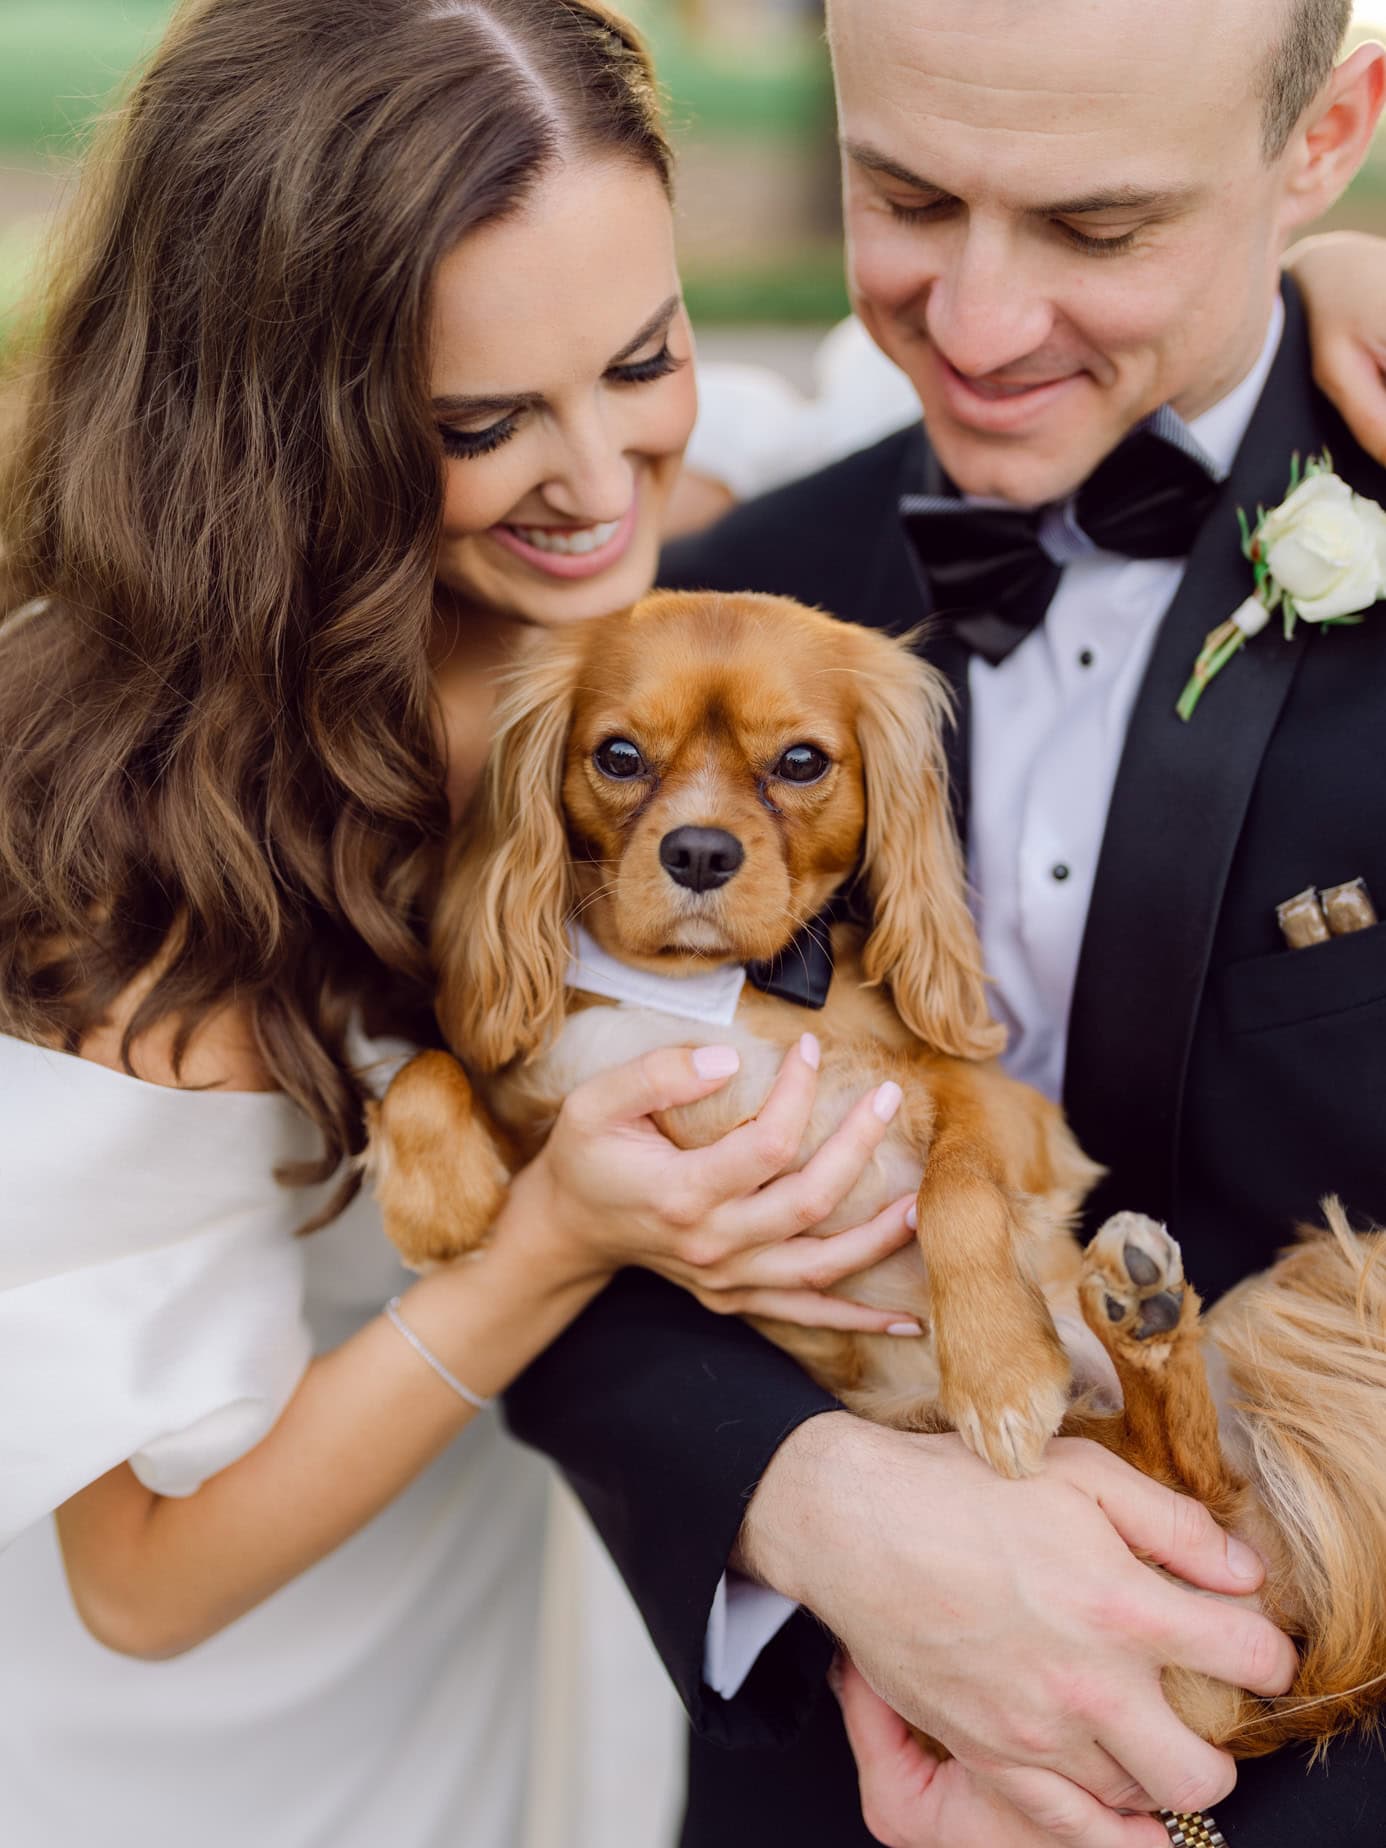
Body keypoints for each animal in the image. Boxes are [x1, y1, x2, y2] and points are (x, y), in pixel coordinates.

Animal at [371, 595, 1386, 1759]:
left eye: (802, 761)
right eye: (618, 756)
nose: (700, 850)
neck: (720, 992)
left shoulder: (1004, 1110)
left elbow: (954, 1195)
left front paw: (999, 1368)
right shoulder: (554, 1126)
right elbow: (432, 1067)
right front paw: (437, 1200)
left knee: (1193, 1480)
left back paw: (1136, 1314)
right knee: (1183, 1471)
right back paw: (1140, 1315)